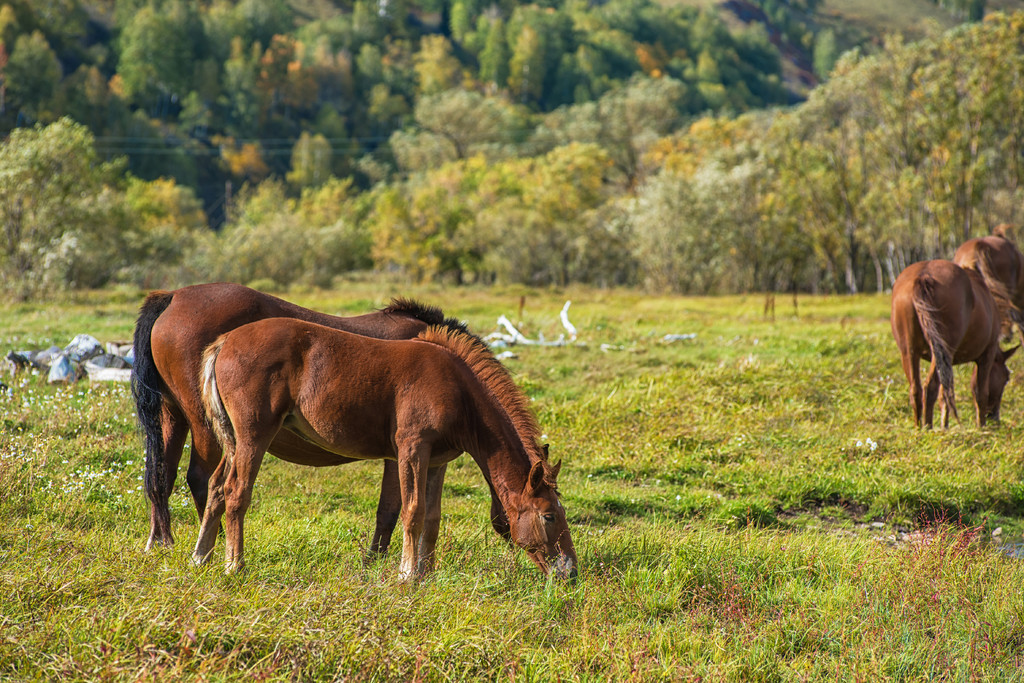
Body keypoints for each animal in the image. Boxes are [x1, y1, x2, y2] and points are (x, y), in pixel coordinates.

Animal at [130, 282, 509, 557]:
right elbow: (390, 509)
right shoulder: (401, 453)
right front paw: (376, 560)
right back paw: (217, 542)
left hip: (173, 417)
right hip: (205, 425)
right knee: (200, 478)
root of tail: (172, 298)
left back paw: (162, 542)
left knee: (162, 476)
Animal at [192, 317, 577, 581]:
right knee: (237, 493)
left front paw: (427, 574)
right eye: (549, 515)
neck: (457, 390)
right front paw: (407, 575)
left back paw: (200, 556)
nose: (571, 572)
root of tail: (225, 342)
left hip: (234, 441)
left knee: (216, 487)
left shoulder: (438, 461)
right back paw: (234, 565)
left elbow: (432, 518)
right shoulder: (412, 450)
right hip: (254, 437)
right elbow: (413, 511)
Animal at [888, 260, 1015, 428]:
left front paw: (945, 426)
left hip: (909, 353)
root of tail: (923, 276)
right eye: (1006, 378)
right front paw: (981, 427)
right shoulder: (987, 354)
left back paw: (918, 428)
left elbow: (945, 396)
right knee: (930, 387)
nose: (994, 418)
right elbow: (981, 394)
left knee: (916, 390)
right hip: (941, 352)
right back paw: (928, 428)